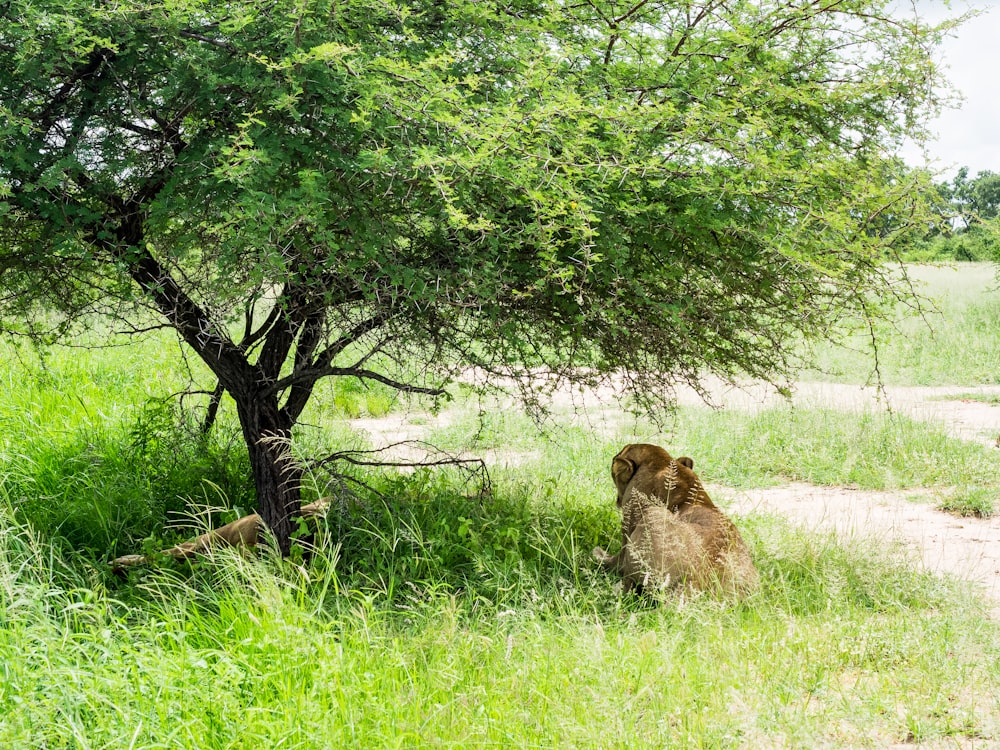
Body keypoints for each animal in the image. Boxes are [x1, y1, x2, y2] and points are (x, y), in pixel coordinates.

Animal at [592, 446, 756, 600]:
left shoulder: (629, 521)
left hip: (653, 515)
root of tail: (696, 581)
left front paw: (601, 557)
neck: (661, 461)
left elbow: (619, 558)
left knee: (629, 585)